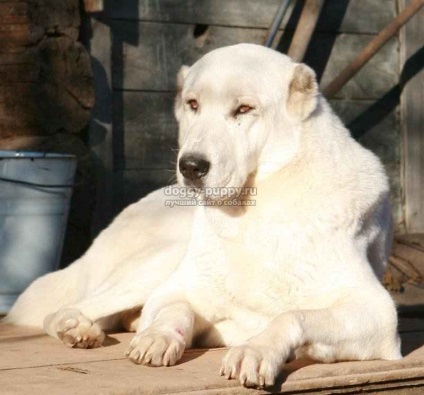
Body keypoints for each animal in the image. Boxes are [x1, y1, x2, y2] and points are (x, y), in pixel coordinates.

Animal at [4, 44, 400, 390]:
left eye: (244, 109)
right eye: (193, 105)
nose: (191, 166)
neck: (258, 206)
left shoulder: (379, 314)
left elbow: (292, 315)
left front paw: (256, 350)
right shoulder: (177, 289)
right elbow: (174, 311)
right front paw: (159, 337)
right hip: (158, 262)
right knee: (63, 309)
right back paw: (80, 328)